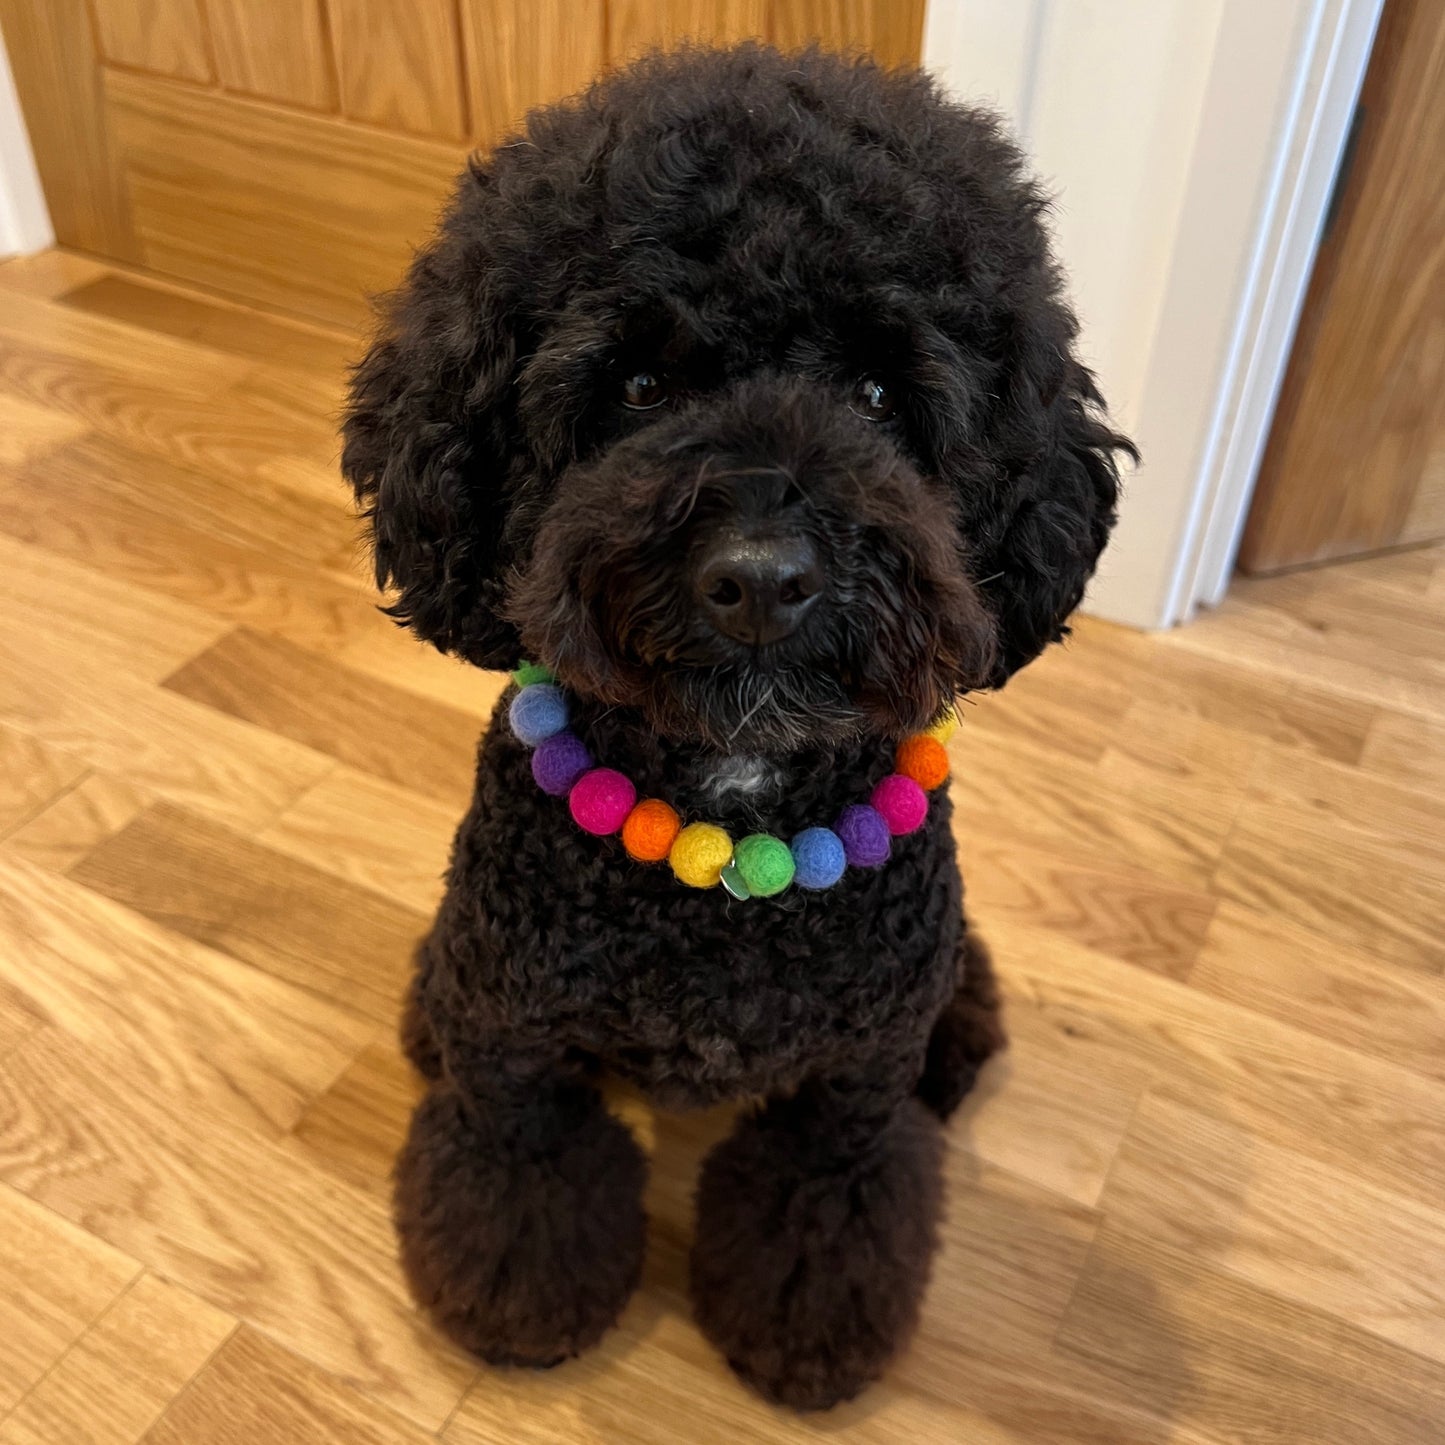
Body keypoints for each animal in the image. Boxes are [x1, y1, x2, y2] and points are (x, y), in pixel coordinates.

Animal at [343, 42, 1132, 1410]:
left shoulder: (849, 1089)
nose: (761, 577)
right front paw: (520, 1307)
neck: (732, 832)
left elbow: (821, 1206)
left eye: (878, 390)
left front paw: (802, 1339)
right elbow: (519, 1176)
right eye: (637, 384)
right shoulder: (514, 1044)